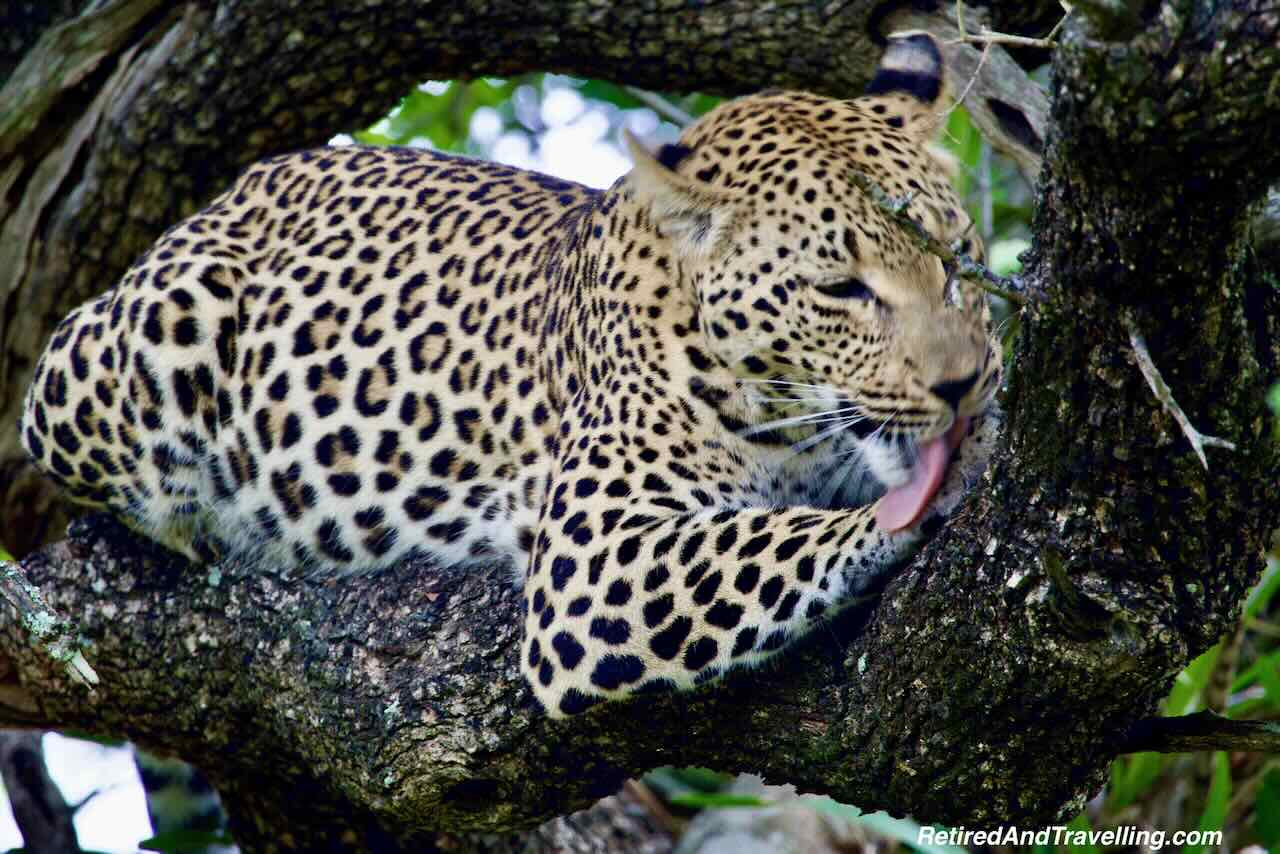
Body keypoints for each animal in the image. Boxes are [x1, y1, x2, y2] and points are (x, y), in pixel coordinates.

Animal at [17, 31, 998, 717]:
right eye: (843, 290)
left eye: (957, 261)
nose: (963, 386)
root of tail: (245, 183)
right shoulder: (592, 561)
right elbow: (775, 536)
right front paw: (908, 510)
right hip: (133, 349)